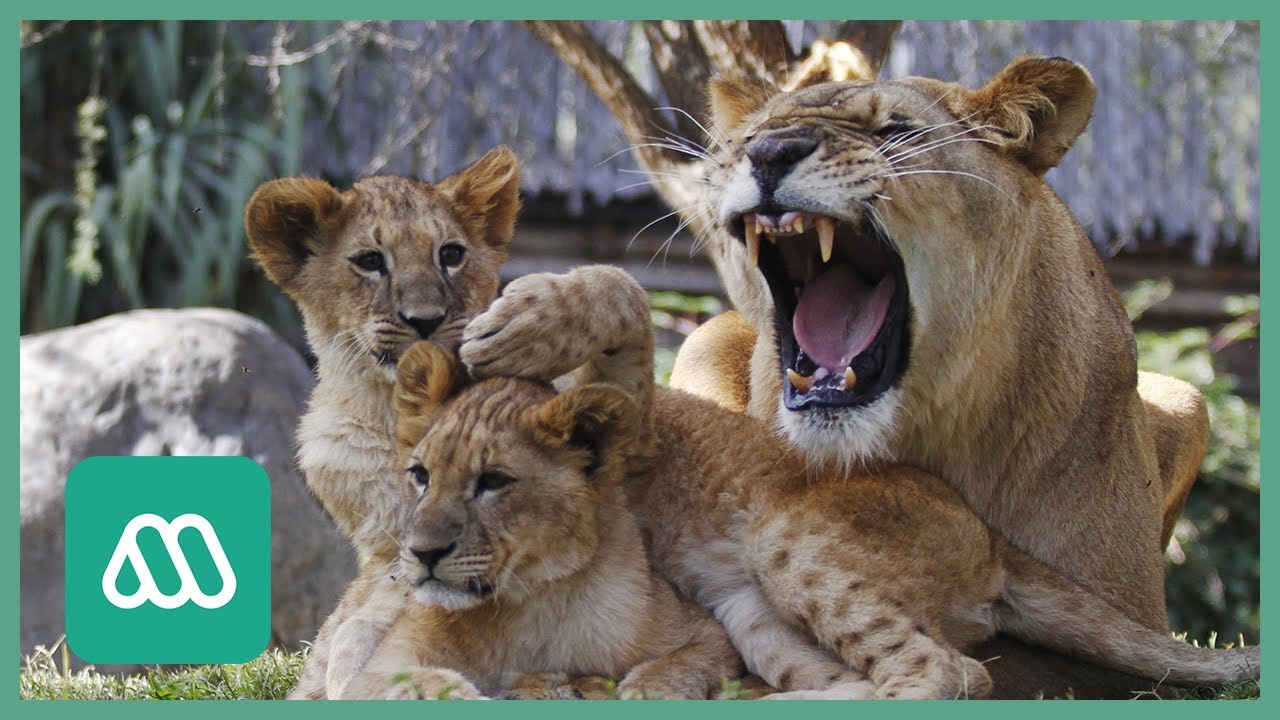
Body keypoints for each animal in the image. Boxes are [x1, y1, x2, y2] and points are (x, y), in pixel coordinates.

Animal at [243, 146, 521, 698]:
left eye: (450, 254)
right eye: (371, 261)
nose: (426, 319)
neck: (396, 412)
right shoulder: (386, 546)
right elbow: (355, 621)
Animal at [333, 342, 742, 700]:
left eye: (493, 481)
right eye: (421, 475)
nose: (424, 553)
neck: (527, 609)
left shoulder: (706, 632)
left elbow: (681, 664)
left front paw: (646, 690)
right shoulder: (378, 669)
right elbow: (419, 684)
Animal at [454, 265, 1257, 699]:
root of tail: (988, 536)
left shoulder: (634, 428)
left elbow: (622, 294)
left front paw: (517, 323)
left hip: (789, 537)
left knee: (947, 672)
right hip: (752, 608)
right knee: (914, 671)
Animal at [652, 55, 1221, 698]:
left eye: (896, 131)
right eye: (747, 138)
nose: (770, 152)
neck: (925, 430)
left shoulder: (1136, 623)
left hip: (1188, 400)